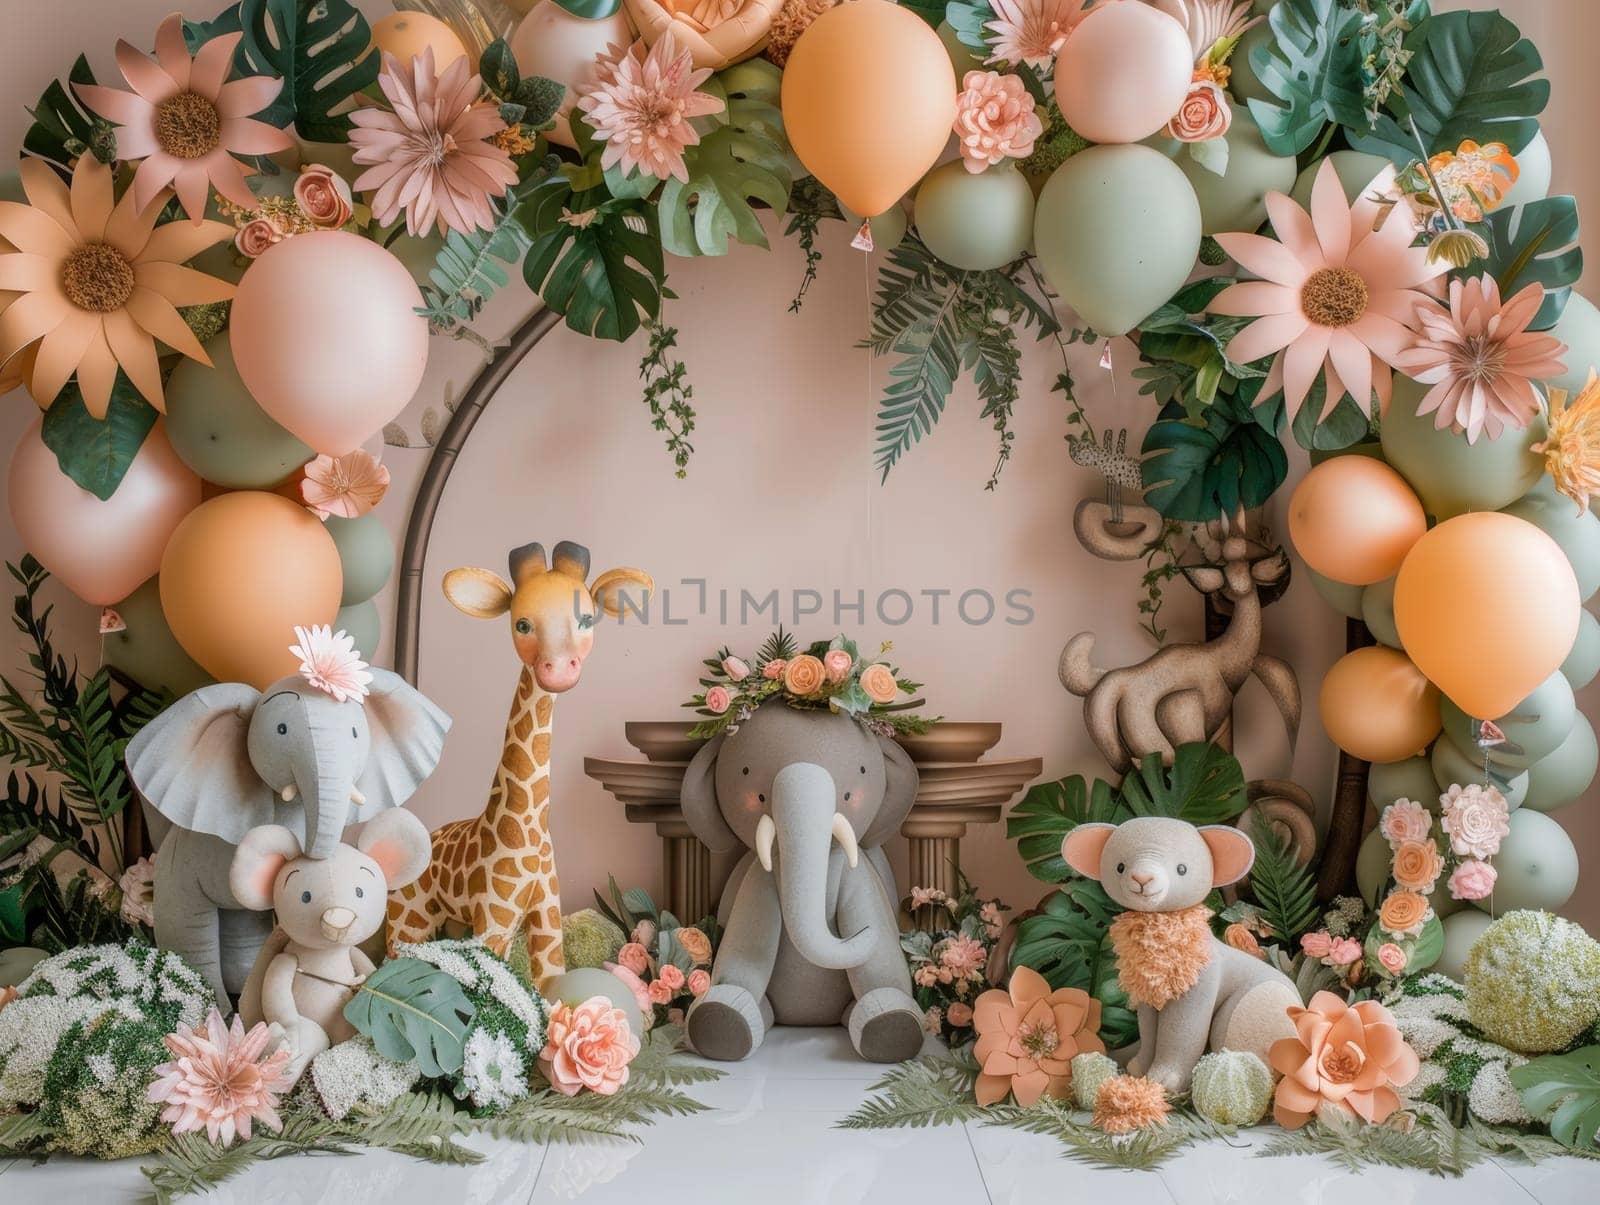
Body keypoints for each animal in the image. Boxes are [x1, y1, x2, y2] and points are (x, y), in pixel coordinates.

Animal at [385, 540, 649, 992]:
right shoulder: (493, 916)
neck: (527, 828)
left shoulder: (545, 918)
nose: (557, 671)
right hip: (409, 917)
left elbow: (547, 991)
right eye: (521, 624)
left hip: (452, 924)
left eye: (586, 618)